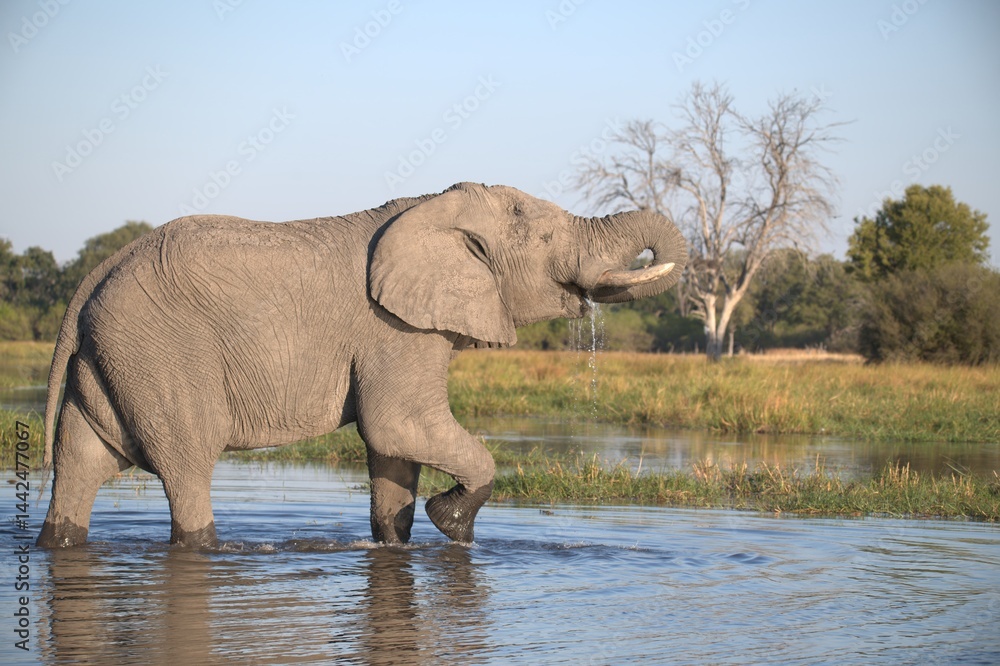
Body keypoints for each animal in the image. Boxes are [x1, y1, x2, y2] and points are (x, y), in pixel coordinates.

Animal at [36, 182, 687, 548]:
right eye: (549, 239)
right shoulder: (393, 328)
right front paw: (452, 523)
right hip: (162, 352)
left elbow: (393, 454)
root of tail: (96, 275)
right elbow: (398, 425)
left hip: (114, 355)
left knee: (80, 462)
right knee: (188, 465)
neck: (434, 206)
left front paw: (407, 539)